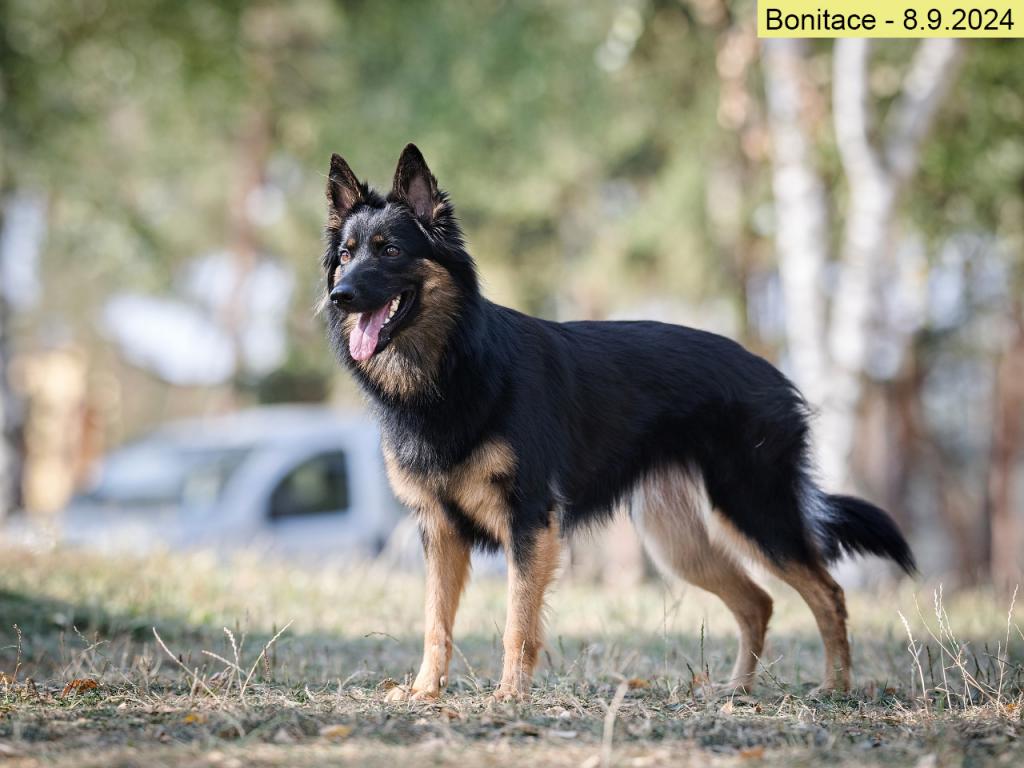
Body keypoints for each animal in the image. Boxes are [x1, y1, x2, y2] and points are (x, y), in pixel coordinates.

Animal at [321, 144, 915, 701]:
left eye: (391, 250)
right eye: (346, 255)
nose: (339, 295)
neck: (451, 367)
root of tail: (770, 371)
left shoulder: (528, 522)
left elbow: (517, 621)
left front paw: (509, 694)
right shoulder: (439, 530)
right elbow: (435, 620)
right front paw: (425, 691)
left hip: (755, 514)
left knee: (828, 594)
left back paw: (834, 686)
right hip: (678, 542)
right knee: (758, 602)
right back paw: (736, 690)